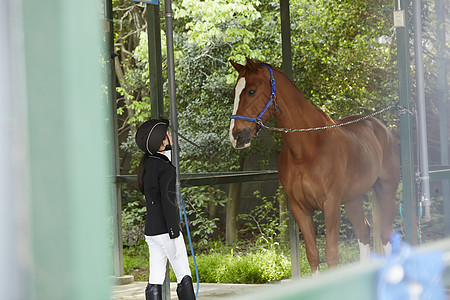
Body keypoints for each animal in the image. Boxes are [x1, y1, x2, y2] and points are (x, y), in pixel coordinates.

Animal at [230, 57, 400, 274]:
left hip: (386, 191)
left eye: (251, 91)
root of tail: (381, 128)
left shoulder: (331, 205)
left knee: (386, 235)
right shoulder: (299, 208)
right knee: (364, 231)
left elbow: (332, 254)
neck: (307, 149)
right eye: (235, 92)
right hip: (353, 199)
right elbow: (312, 254)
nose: (236, 136)